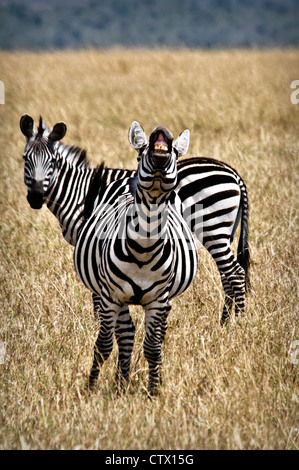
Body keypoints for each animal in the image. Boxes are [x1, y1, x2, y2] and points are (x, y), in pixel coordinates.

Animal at [21, 114, 250, 326]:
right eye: (25, 159)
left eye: (52, 162)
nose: (35, 197)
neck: (78, 191)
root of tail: (233, 173)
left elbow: (96, 286)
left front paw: (96, 321)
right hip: (225, 231)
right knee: (227, 275)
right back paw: (225, 322)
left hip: (213, 228)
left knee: (235, 273)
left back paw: (237, 322)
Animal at [73, 125, 199, 392]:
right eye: (141, 153)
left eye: (175, 154)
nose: (161, 130)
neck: (144, 247)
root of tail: (127, 177)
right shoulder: (110, 296)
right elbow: (103, 345)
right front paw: (91, 389)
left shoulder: (158, 300)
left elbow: (152, 348)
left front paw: (153, 392)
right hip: (113, 296)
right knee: (125, 334)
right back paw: (121, 383)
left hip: (162, 300)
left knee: (153, 336)